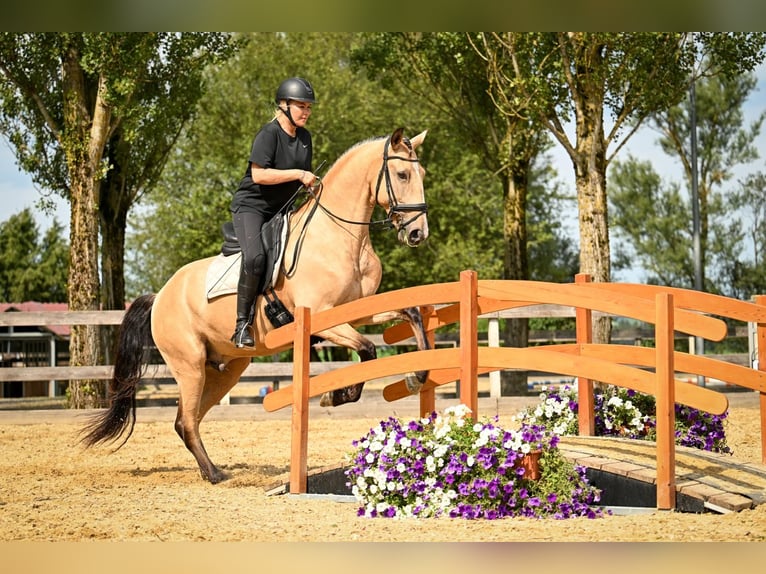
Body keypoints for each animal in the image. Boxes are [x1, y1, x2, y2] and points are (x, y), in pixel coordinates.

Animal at [83, 128, 436, 484]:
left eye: (421, 173)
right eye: (402, 174)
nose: (417, 234)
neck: (341, 237)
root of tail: (160, 296)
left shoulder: (358, 311)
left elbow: (408, 316)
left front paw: (418, 374)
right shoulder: (324, 318)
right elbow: (367, 350)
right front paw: (336, 396)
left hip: (224, 370)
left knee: (189, 420)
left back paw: (212, 470)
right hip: (189, 366)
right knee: (186, 421)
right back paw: (215, 474)